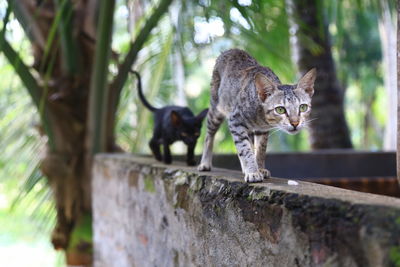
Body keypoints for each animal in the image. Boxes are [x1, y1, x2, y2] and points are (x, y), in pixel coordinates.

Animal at [197, 49, 316, 183]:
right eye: (280, 109)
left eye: (303, 107)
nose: (295, 123)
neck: (261, 117)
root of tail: (231, 50)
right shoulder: (235, 120)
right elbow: (245, 149)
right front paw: (253, 172)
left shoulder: (262, 130)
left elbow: (260, 149)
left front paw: (259, 168)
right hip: (216, 109)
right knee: (209, 135)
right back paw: (205, 163)